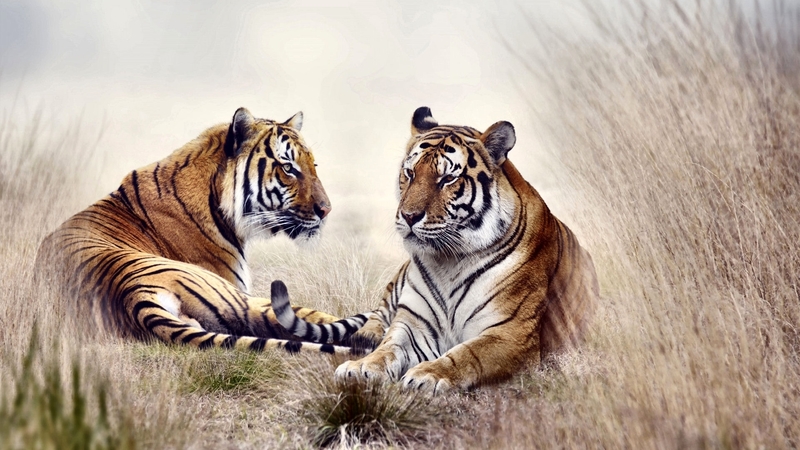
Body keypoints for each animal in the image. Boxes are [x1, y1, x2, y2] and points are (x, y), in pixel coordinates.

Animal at [270, 106, 599, 393]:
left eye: (448, 178)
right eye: (409, 173)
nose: (409, 216)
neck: (449, 261)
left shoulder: (511, 333)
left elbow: (468, 353)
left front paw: (428, 375)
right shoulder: (414, 323)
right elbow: (389, 346)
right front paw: (362, 367)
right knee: (377, 317)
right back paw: (365, 339)